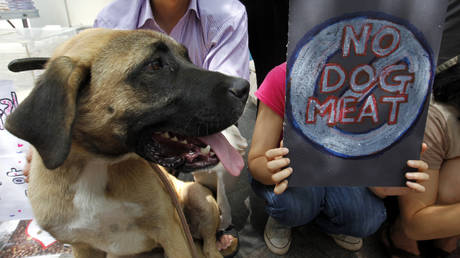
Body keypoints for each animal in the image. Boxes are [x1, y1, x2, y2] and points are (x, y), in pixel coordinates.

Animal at [4, 28, 248, 258]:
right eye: (154, 65)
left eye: (187, 57)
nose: (245, 88)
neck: (94, 164)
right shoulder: (83, 247)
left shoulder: (172, 233)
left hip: (199, 198)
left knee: (209, 245)